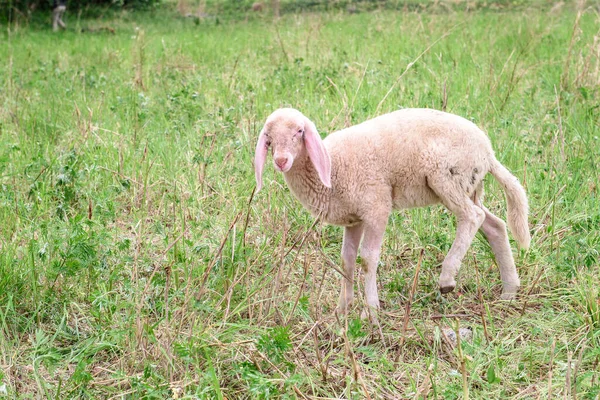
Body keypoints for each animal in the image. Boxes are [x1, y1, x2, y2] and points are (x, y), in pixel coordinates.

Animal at [253, 107, 528, 318]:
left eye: (299, 132)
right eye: (268, 136)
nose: (281, 161)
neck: (332, 167)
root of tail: (488, 152)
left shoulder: (377, 206)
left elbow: (368, 258)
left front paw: (371, 310)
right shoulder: (353, 219)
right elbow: (347, 259)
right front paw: (343, 309)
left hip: (447, 176)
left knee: (472, 217)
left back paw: (447, 279)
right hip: (469, 186)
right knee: (495, 225)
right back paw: (509, 291)